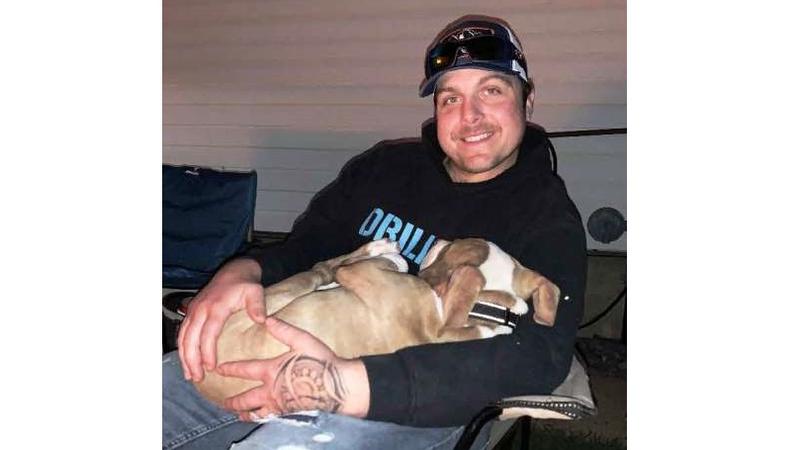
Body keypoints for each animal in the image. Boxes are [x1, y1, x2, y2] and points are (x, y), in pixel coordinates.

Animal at [194, 238, 561, 406]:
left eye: (450, 248)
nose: (438, 241)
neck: (487, 306)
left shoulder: (360, 276)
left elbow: (395, 265)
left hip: (277, 296)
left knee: (322, 268)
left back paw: (377, 248)